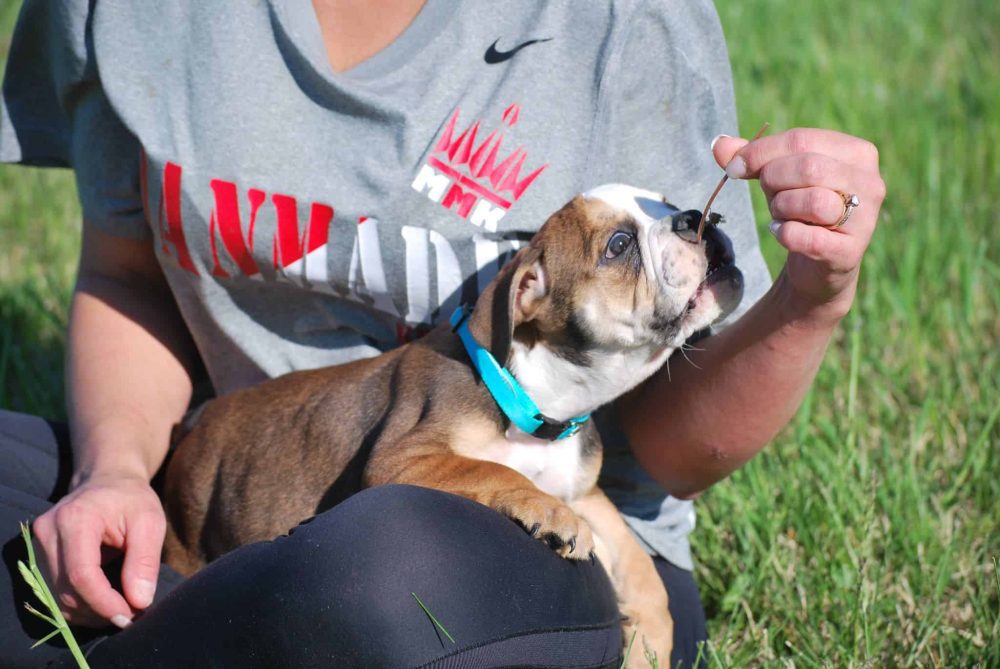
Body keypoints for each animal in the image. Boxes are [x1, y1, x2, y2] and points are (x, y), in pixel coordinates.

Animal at [162, 184, 744, 668]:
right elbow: (495, 471)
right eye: (619, 245)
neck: (536, 395)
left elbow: (636, 559)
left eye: (668, 204)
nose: (699, 217)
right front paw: (551, 515)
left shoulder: (586, 489)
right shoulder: (405, 458)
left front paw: (653, 637)